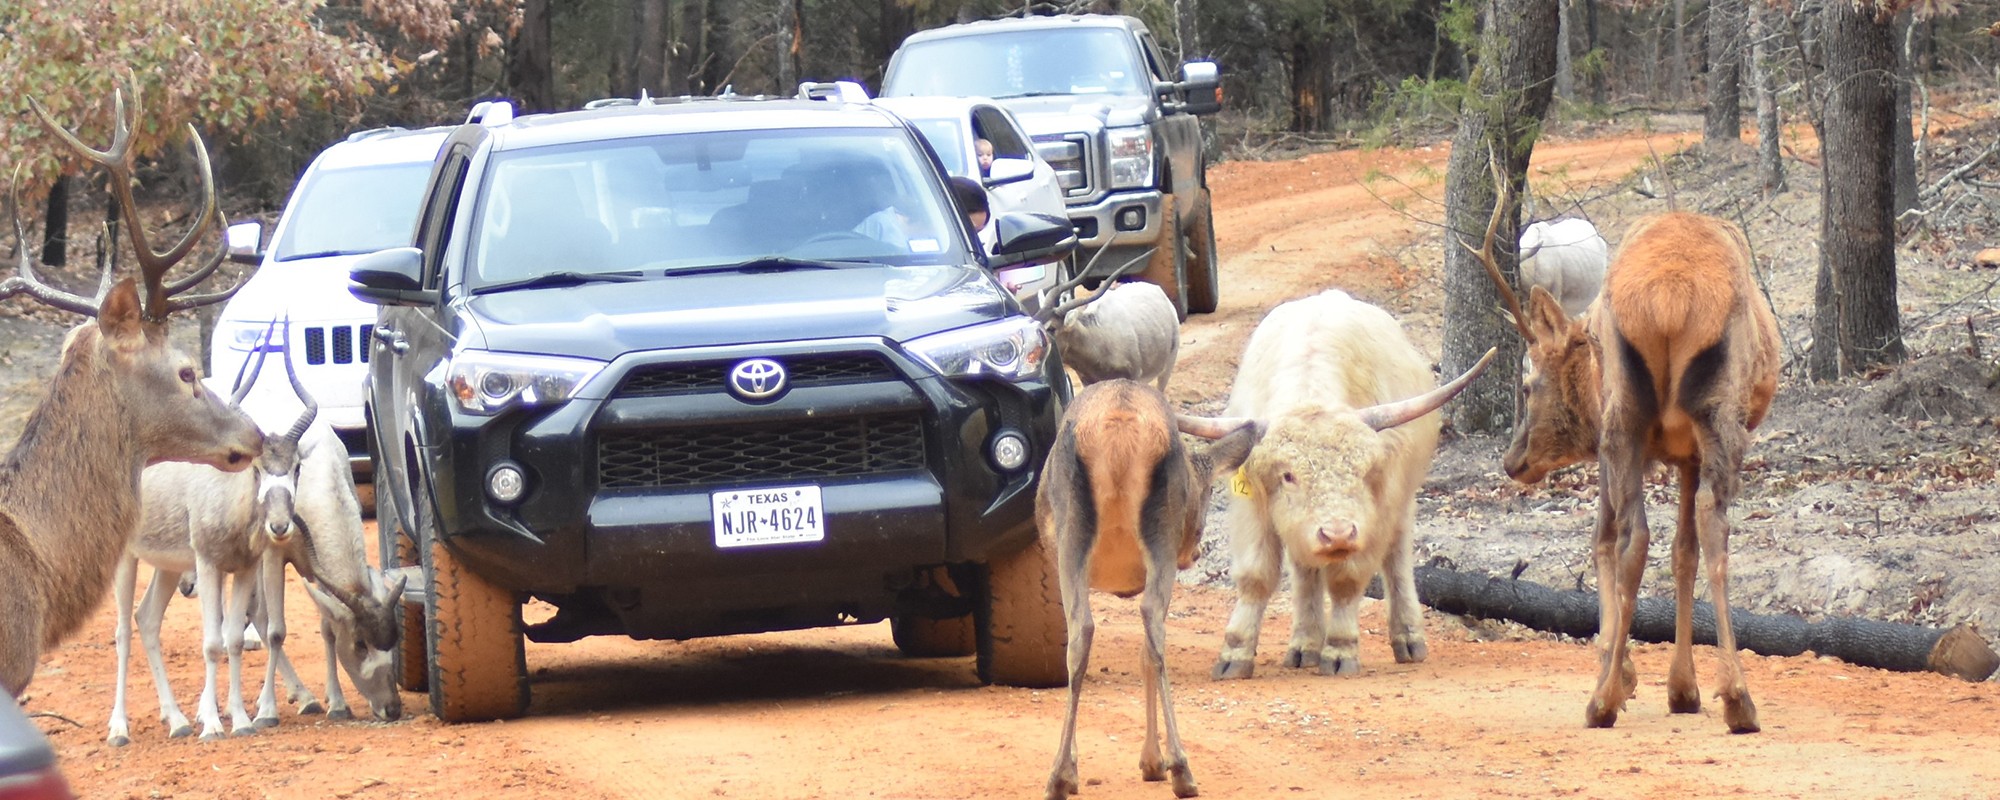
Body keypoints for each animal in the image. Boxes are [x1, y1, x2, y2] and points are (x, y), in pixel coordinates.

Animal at [111, 338, 408, 744]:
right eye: (360, 644)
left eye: (392, 640)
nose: (391, 708)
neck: (318, 476)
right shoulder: (269, 556)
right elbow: (274, 628)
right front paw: (269, 710)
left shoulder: (312, 569)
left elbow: (325, 627)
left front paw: (336, 703)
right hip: (130, 555)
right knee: (126, 629)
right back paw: (122, 727)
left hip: (169, 563)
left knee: (148, 617)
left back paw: (177, 717)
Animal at [1040, 380, 1256, 800]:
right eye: (1207, 493)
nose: (1195, 549)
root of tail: (1120, 426)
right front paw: (1151, 760)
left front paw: (1151, 761)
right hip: (1152, 537)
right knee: (1128, 627)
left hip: (1091, 532)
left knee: (1096, 631)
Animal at [1472, 170, 1784, 736]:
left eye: (1527, 385)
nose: (1513, 461)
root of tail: (1669, 297)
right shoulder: (1676, 452)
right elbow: (1679, 551)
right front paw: (1671, 684)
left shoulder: (1617, 444)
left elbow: (1612, 541)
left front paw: (1631, 672)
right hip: (1701, 415)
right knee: (1698, 525)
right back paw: (1730, 697)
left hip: (1629, 418)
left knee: (1637, 535)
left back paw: (1613, 699)